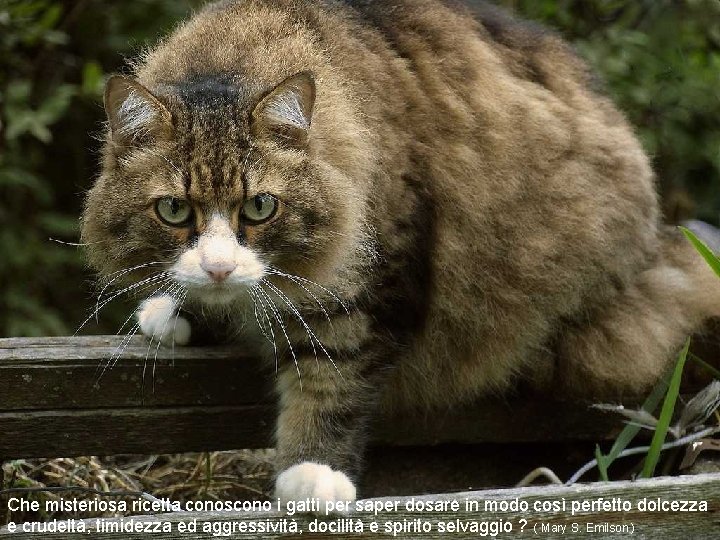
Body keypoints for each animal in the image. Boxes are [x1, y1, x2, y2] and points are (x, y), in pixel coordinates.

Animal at [81, 0, 720, 504]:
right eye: (174, 211)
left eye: (260, 208)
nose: (218, 267)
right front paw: (177, 312)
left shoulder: (374, 288)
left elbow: (330, 386)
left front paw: (313, 474)